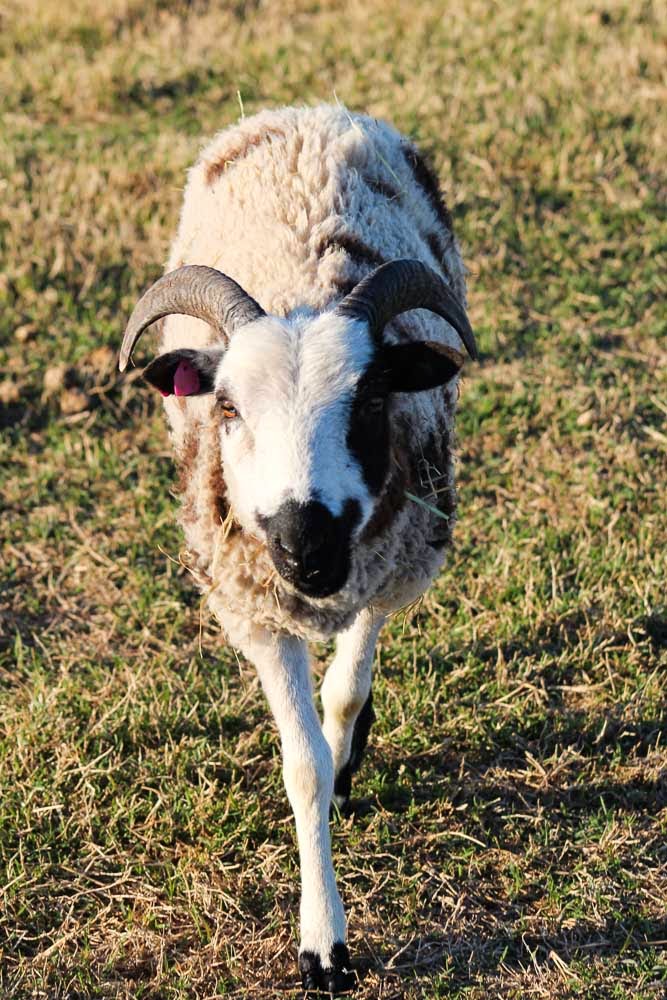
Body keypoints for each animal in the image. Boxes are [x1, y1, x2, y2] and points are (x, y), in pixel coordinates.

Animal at [119, 104, 477, 995]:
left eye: (373, 397)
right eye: (227, 406)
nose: (302, 542)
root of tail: (310, 113)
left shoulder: (385, 570)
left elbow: (344, 697)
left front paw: (347, 759)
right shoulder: (254, 611)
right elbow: (301, 765)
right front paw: (322, 944)